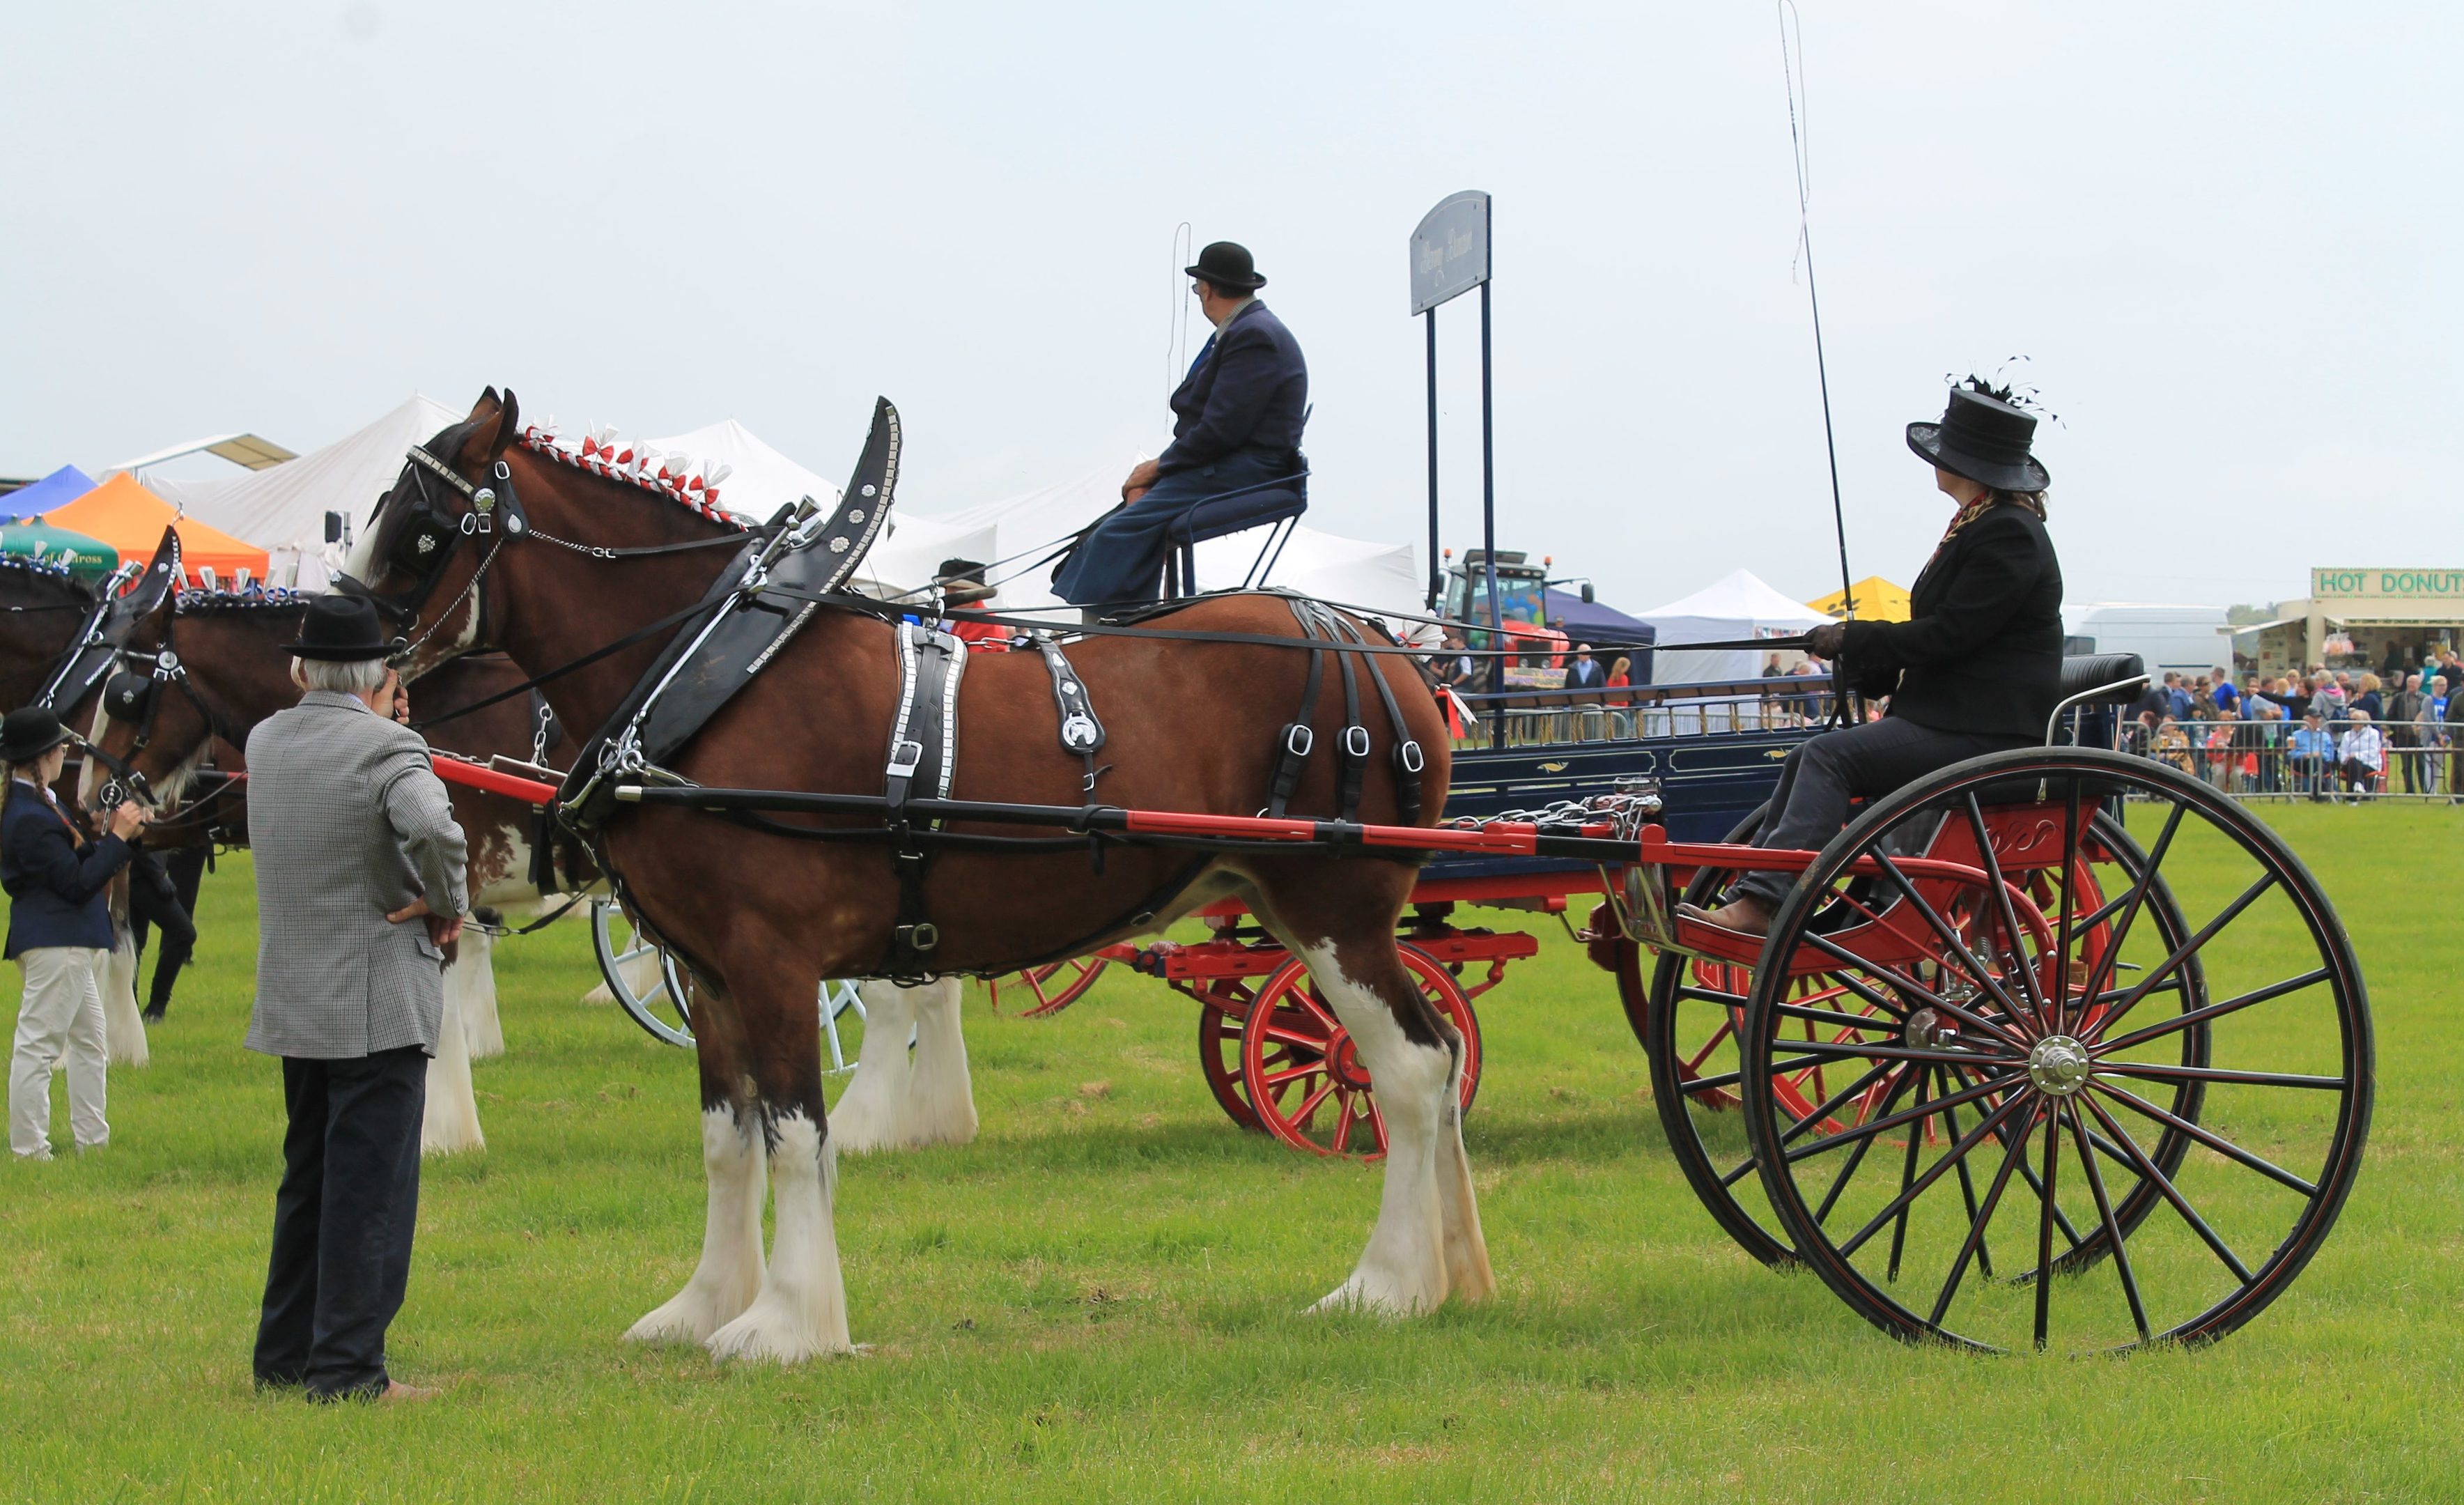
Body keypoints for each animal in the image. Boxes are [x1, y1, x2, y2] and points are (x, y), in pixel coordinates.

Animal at [357, 392, 1488, 1369]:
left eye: (417, 529)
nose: (345, 654)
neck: (719, 673)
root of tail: (1381, 650)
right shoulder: (708, 970)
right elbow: (728, 1141)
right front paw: (704, 1306)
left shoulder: (774, 961)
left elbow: (795, 1135)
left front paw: (789, 1323)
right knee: (1435, 1063)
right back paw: (1452, 1276)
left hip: (1335, 913)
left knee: (1409, 1069)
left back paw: (1385, 1284)